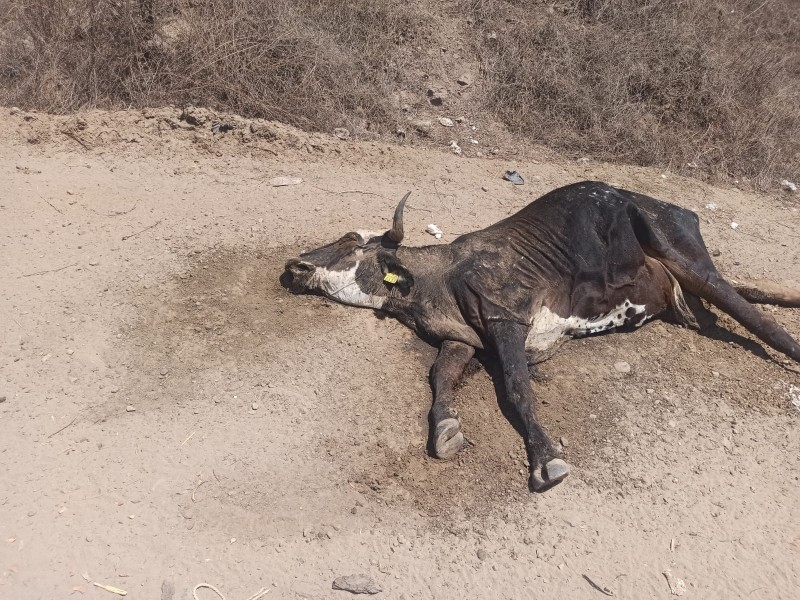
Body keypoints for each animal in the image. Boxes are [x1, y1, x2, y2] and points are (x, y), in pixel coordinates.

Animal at [282, 182, 800, 492]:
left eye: (351, 242)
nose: (295, 265)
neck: (436, 279)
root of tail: (670, 205)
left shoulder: (505, 317)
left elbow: (517, 389)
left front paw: (545, 456)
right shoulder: (461, 340)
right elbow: (440, 378)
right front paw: (446, 426)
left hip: (682, 253)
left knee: (757, 317)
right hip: (684, 284)